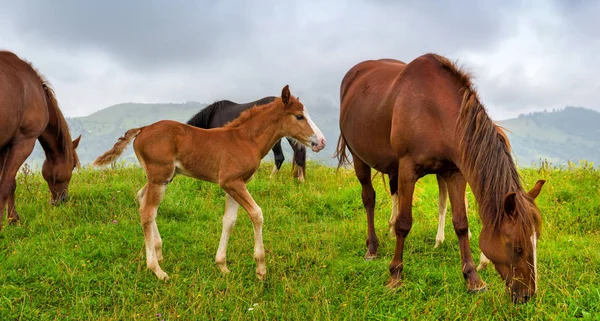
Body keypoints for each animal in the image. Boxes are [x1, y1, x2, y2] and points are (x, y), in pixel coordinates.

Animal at [0, 50, 81, 226]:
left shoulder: (3, 146)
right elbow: (6, 185)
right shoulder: (24, 142)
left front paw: (12, 218)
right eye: (72, 166)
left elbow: (10, 183)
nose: (63, 200)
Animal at [93, 85, 326, 280]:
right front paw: (261, 269)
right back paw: (157, 270)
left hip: (163, 177)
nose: (321, 142)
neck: (246, 139)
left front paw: (222, 265)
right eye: (299, 116)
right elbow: (257, 214)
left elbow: (229, 221)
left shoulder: (234, 185)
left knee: (141, 198)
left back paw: (158, 252)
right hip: (160, 176)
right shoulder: (231, 182)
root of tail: (142, 129)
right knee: (148, 211)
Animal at [336, 53, 548, 302]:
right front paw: (395, 275)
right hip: (358, 156)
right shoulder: (407, 169)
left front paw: (473, 278)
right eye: (517, 247)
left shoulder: (454, 173)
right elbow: (404, 223)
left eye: (535, 241)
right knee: (369, 198)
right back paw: (372, 247)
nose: (527, 295)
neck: (434, 110)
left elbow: (461, 224)